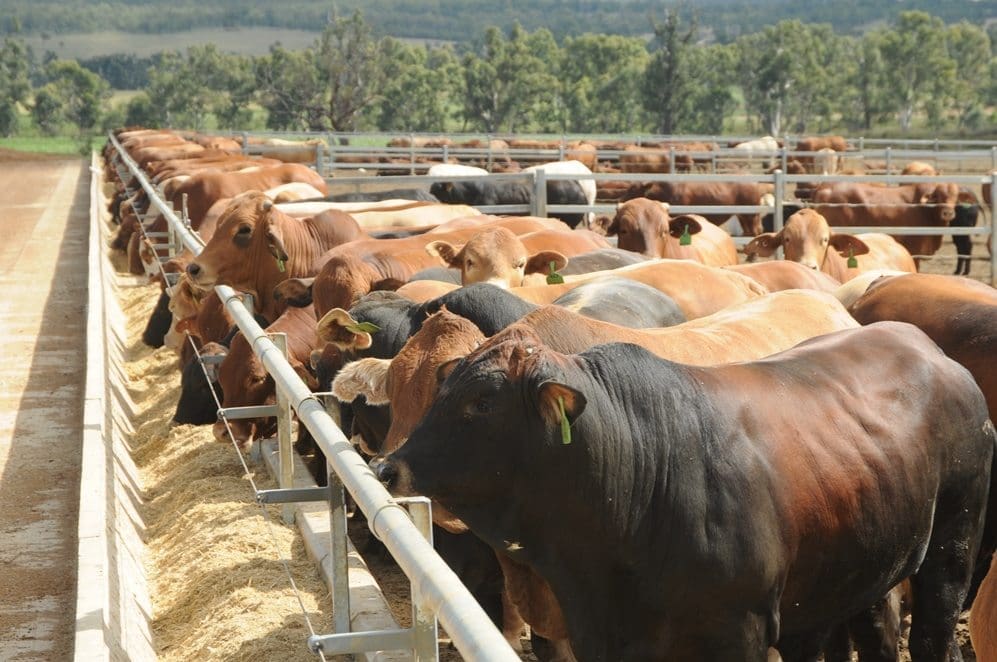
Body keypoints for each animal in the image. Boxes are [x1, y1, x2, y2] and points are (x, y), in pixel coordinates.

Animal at [378, 320, 992, 660]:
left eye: (482, 402)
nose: (387, 468)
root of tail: (929, 349)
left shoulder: (738, 633)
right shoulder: (604, 636)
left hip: (951, 549)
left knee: (933, 636)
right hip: (860, 570)